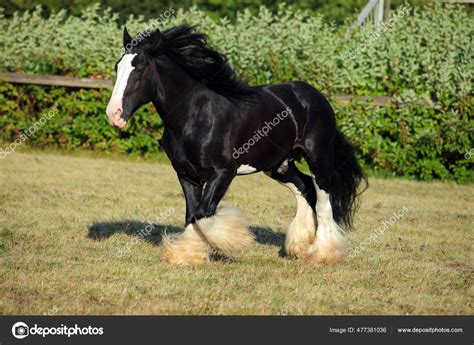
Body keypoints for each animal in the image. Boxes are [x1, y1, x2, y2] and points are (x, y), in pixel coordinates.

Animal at [106, 25, 366, 264]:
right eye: (117, 66)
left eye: (139, 69)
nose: (114, 114)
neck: (195, 116)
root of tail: (316, 96)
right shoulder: (186, 175)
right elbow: (192, 214)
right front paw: (188, 255)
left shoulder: (223, 173)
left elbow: (203, 214)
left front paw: (236, 240)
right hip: (279, 165)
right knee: (305, 187)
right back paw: (300, 247)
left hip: (318, 157)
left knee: (323, 200)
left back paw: (323, 253)